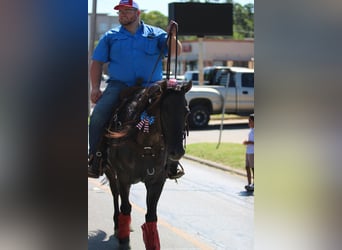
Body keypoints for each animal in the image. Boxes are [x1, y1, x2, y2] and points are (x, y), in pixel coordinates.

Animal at [103, 79, 191, 249]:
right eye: (166, 111)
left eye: (187, 112)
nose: (177, 152)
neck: (146, 145)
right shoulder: (123, 178)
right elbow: (126, 207)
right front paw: (124, 241)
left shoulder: (157, 182)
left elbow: (151, 215)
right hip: (110, 171)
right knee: (115, 193)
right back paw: (118, 226)